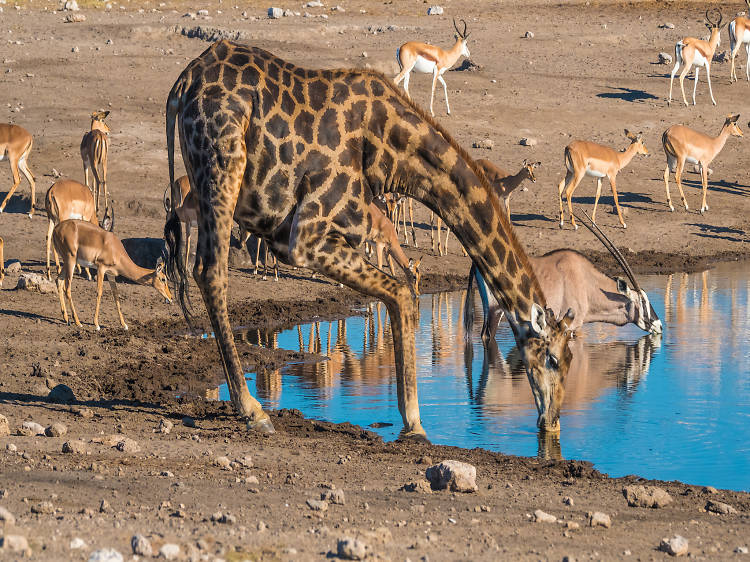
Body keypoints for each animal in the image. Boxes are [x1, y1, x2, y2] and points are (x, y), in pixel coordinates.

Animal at [164, 40, 576, 438]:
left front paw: (409, 419)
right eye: (553, 359)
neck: (393, 152)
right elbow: (403, 293)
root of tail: (182, 84)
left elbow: (395, 294)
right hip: (223, 168)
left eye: (571, 359)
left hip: (205, 183)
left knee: (199, 268)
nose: (552, 420)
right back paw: (253, 411)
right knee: (212, 272)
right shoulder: (305, 237)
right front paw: (416, 423)